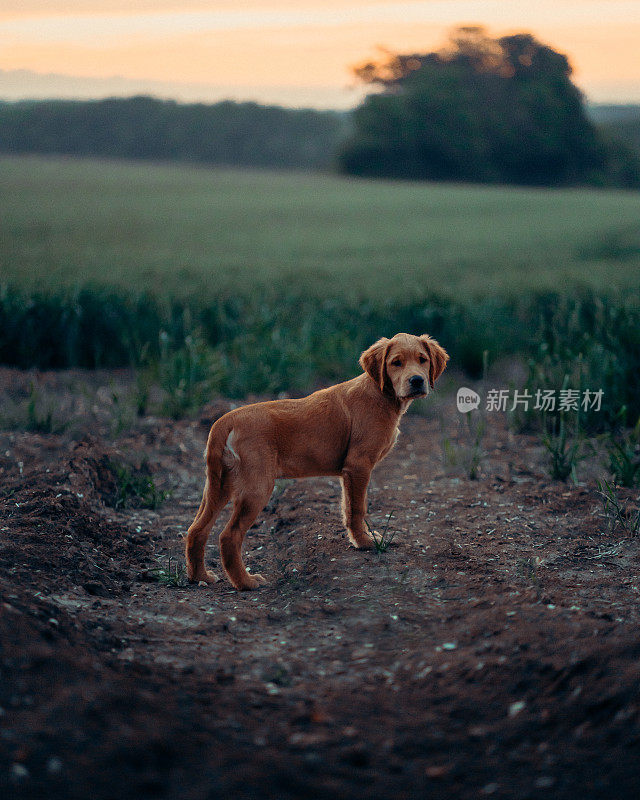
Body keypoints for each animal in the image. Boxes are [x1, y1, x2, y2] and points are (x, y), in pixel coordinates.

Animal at [182, 332, 448, 588]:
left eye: (423, 360)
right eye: (396, 363)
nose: (417, 380)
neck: (380, 393)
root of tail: (224, 421)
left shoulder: (348, 473)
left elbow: (347, 508)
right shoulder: (358, 465)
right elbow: (357, 509)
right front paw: (365, 543)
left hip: (218, 486)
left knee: (196, 530)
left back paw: (201, 577)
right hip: (256, 487)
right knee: (229, 536)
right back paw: (246, 582)